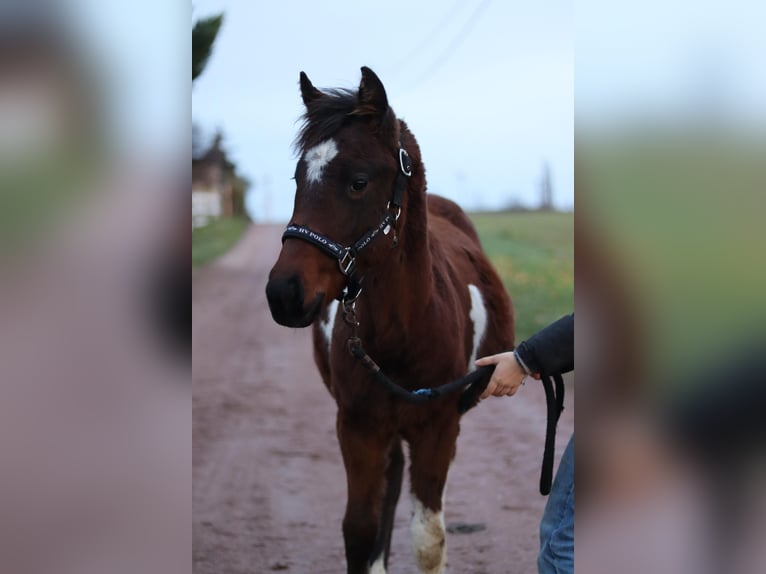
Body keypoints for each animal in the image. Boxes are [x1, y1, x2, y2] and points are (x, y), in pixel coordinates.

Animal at [266, 68, 516, 574]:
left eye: (358, 182)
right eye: (299, 177)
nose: (284, 293)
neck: (405, 332)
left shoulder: (438, 428)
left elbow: (428, 538)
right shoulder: (357, 426)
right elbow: (359, 529)